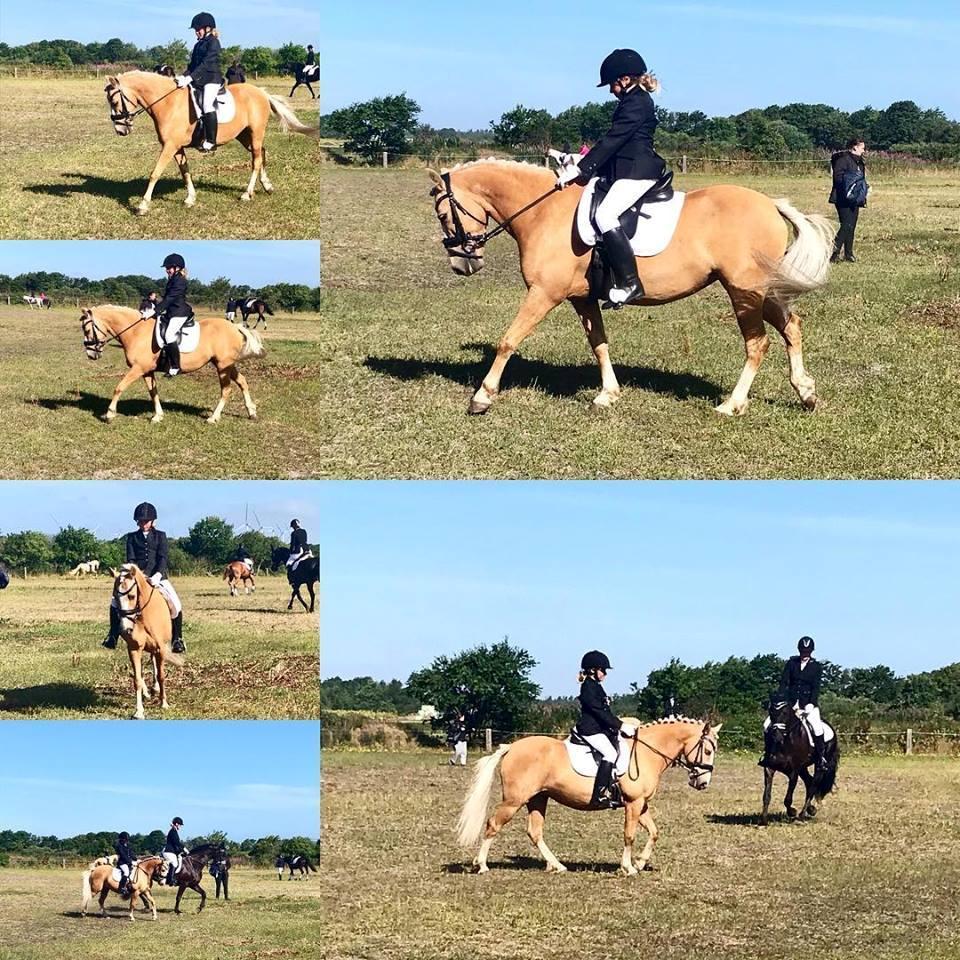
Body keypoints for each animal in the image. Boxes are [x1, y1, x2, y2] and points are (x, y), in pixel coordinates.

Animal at [79, 305, 264, 424]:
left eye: (87, 330)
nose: (91, 355)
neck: (136, 332)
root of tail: (235, 327)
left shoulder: (138, 369)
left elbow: (119, 387)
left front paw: (109, 414)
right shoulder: (147, 371)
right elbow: (153, 392)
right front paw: (158, 416)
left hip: (222, 366)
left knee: (226, 389)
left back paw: (213, 417)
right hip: (227, 365)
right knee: (242, 381)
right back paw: (251, 412)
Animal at [103, 70, 319, 215]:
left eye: (114, 101)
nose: (120, 130)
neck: (169, 103)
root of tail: (261, 93)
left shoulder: (169, 146)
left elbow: (155, 173)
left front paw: (142, 205)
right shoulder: (177, 147)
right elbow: (185, 171)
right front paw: (190, 199)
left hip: (256, 132)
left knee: (256, 160)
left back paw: (246, 194)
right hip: (244, 135)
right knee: (262, 153)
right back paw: (267, 186)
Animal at [111, 563, 184, 720]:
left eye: (132, 596)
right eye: (115, 597)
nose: (125, 629)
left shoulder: (161, 648)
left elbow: (161, 676)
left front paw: (164, 703)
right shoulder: (134, 648)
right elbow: (137, 679)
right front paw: (138, 711)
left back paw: (155, 689)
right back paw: (148, 691)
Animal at [428, 159, 833, 417]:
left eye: (443, 213)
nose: (463, 264)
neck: (544, 213)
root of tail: (771, 204)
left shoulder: (545, 293)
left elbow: (508, 340)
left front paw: (482, 397)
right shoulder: (582, 299)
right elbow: (599, 343)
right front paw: (608, 394)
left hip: (744, 291)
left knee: (757, 343)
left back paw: (731, 405)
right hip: (762, 290)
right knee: (791, 327)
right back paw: (806, 393)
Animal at [458, 717, 722, 875]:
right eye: (708, 750)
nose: (702, 783)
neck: (647, 752)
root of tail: (512, 747)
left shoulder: (641, 804)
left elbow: (654, 832)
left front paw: (639, 862)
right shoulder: (633, 804)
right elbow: (629, 835)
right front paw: (628, 868)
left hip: (538, 798)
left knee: (535, 832)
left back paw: (557, 865)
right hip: (514, 801)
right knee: (493, 824)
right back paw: (482, 865)